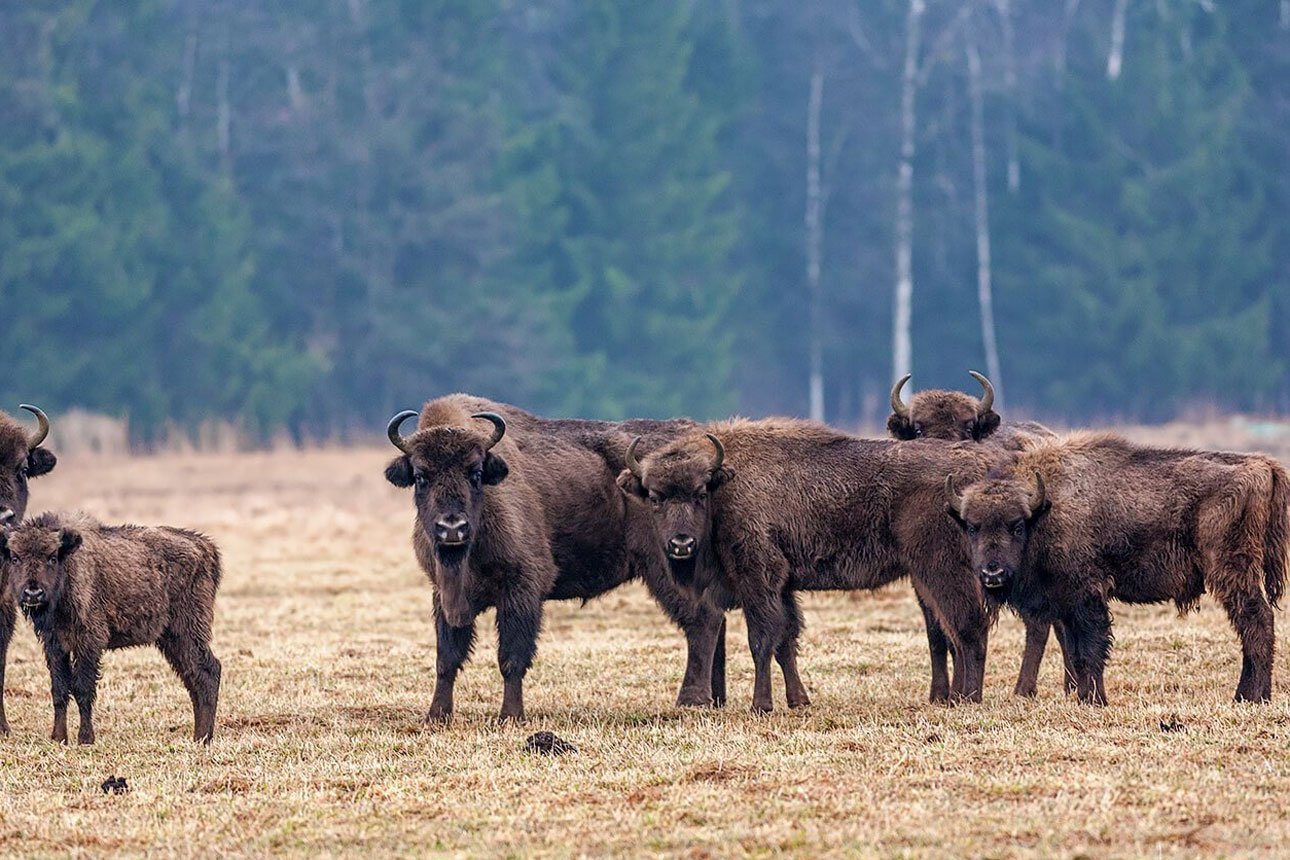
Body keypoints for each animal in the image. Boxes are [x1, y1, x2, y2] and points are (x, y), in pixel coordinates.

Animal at [2, 510, 223, 747]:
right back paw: (199, 736)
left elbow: (82, 689)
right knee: (193, 677)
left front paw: (85, 738)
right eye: (15, 557)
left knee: (208, 671)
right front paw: (59, 737)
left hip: (188, 631)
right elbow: (59, 690)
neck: (69, 567)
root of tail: (206, 547)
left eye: (52, 557)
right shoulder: (55, 644)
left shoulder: (89, 642)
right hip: (172, 639)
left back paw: (203, 738)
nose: (33, 593)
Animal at [381, 394, 727, 722]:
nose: (452, 528)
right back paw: (717, 698)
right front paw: (436, 715)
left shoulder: (522, 590)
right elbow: (447, 658)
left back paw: (692, 700)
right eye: (421, 476)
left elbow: (511, 658)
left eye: (476, 473)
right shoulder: (443, 595)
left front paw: (510, 716)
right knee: (715, 619)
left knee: (702, 620)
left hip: (668, 565)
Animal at [949, 433, 1290, 701]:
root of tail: (1262, 466)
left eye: (1017, 526)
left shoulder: (1087, 596)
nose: (992, 573)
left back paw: (1251, 697)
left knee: (1256, 622)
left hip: (1231, 571)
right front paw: (1084, 697)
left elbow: (1091, 649)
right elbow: (1076, 652)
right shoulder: (1066, 604)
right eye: (972, 527)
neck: (1044, 509)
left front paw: (1095, 700)